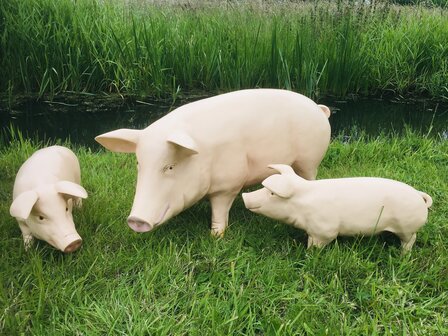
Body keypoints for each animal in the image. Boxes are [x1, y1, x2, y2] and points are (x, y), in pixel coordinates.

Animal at [95, 89, 328, 236]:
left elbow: (220, 210)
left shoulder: (228, 184)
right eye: (138, 164)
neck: (204, 156)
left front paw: (216, 236)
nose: (136, 220)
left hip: (310, 159)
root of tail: (318, 107)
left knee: (309, 177)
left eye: (170, 166)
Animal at [243, 164, 432, 251]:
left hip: (407, 227)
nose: (245, 196)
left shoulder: (324, 229)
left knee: (411, 240)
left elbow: (319, 243)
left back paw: (403, 254)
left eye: (272, 193)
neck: (301, 205)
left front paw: (309, 253)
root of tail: (419, 196)